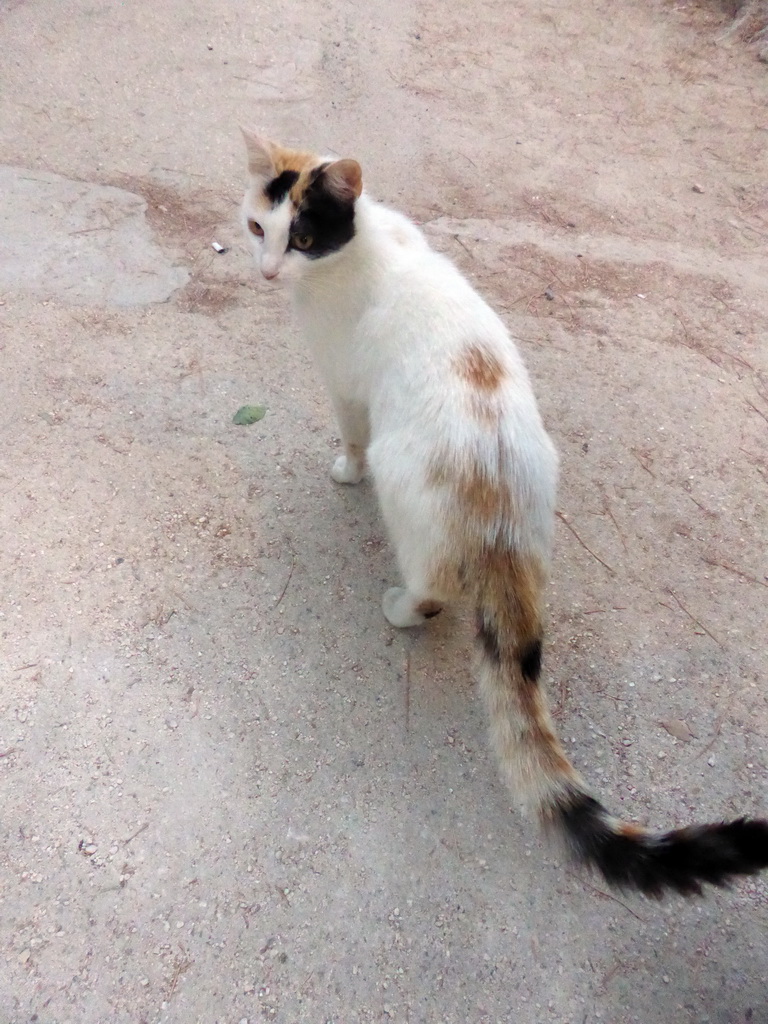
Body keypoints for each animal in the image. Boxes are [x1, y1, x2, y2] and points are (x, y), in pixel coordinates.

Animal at [240, 130, 768, 897]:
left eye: (303, 238)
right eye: (259, 228)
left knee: (432, 586)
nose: (269, 272)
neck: (361, 245)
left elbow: (348, 434)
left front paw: (344, 470)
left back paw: (400, 606)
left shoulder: (344, 384)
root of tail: (501, 509)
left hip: (409, 493)